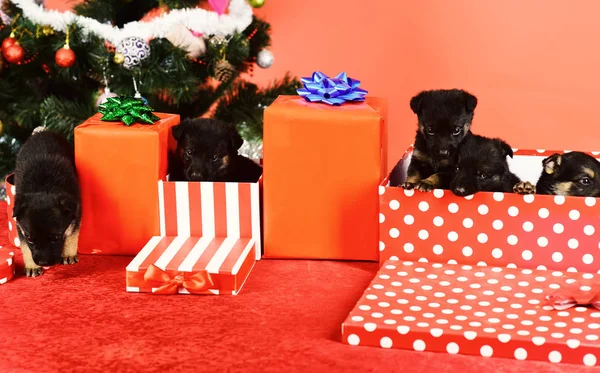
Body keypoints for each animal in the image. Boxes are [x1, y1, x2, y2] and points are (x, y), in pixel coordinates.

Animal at [12, 128, 81, 276]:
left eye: (56, 238)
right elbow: (24, 246)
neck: (44, 188)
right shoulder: (20, 227)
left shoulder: (77, 212)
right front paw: (32, 267)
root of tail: (42, 131)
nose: (44, 263)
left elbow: (72, 235)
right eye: (30, 238)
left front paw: (68, 254)